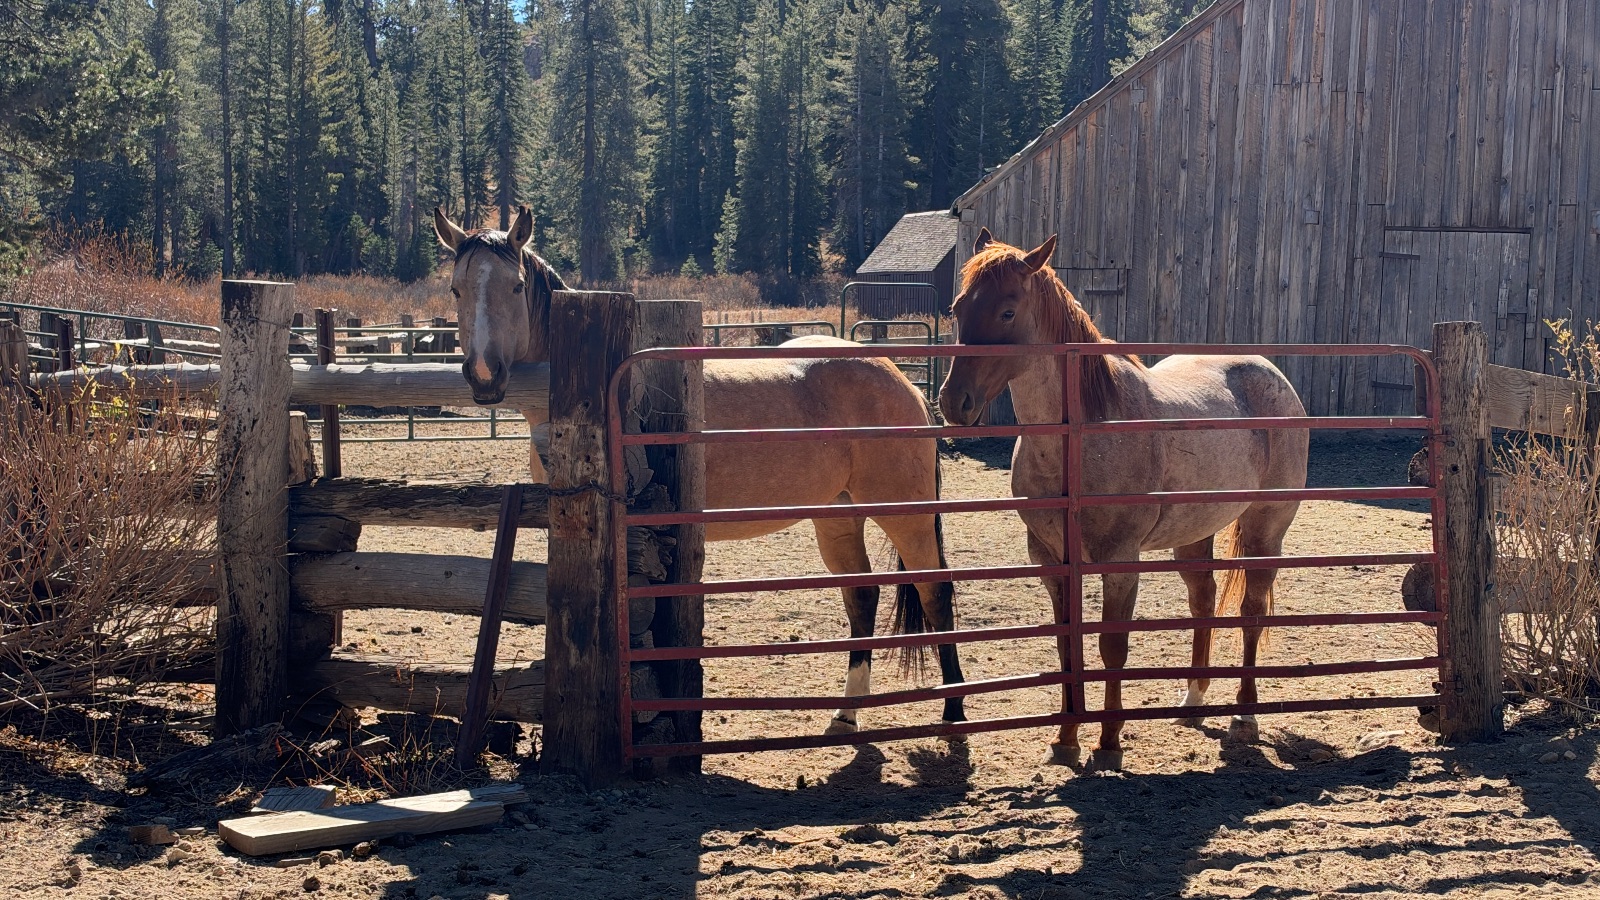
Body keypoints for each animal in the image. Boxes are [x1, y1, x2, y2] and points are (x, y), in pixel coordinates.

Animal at [434, 205, 966, 734]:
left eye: (516, 286)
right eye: (457, 288)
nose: (484, 376)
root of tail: (899, 377)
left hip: (906, 514)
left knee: (935, 591)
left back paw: (954, 709)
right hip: (838, 514)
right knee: (863, 595)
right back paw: (848, 711)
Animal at [938, 228, 1309, 772]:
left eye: (1007, 312)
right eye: (958, 307)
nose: (953, 403)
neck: (1080, 436)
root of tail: (1271, 376)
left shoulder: (1119, 561)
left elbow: (1112, 648)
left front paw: (1108, 743)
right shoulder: (1052, 561)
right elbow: (1066, 647)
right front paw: (1065, 740)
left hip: (1266, 529)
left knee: (1251, 611)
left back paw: (1244, 716)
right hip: (1194, 535)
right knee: (1203, 600)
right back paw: (1192, 699)